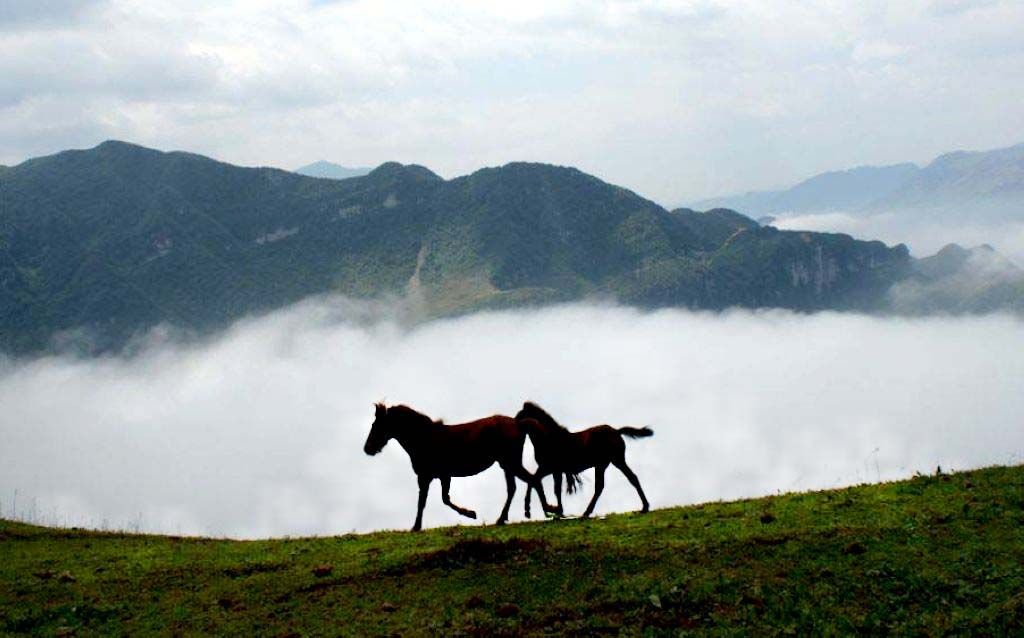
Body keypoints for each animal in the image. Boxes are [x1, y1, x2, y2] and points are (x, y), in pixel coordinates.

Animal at [364, 401, 565, 532]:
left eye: (376, 424)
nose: (367, 448)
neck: (425, 438)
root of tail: (518, 423)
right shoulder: (442, 476)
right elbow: (443, 499)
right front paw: (470, 513)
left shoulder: (427, 476)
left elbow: (425, 501)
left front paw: (416, 527)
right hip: (506, 465)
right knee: (514, 488)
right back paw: (504, 518)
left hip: (510, 463)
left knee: (532, 480)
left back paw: (546, 510)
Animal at [516, 401, 651, 522]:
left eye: (520, 415)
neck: (548, 438)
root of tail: (616, 431)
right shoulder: (555, 471)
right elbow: (556, 489)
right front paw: (558, 512)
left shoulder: (547, 468)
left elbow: (534, 480)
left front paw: (532, 510)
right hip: (607, 464)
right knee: (615, 482)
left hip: (612, 462)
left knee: (615, 482)